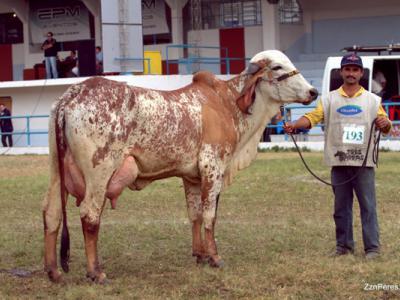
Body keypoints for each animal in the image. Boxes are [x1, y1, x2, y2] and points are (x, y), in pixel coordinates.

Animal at [43, 49, 318, 284]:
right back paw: (95, 272)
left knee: (52, 213)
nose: (313, 91)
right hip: (99, 172)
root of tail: (73, 94)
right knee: (89, 215)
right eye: (277, 66)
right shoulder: (212, 167)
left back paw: (54, 271)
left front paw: (200, 254)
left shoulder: (191, 177)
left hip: (56, 172)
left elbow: (194, 214)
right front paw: (215, 257)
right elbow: (209, 215)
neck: (228, 104)